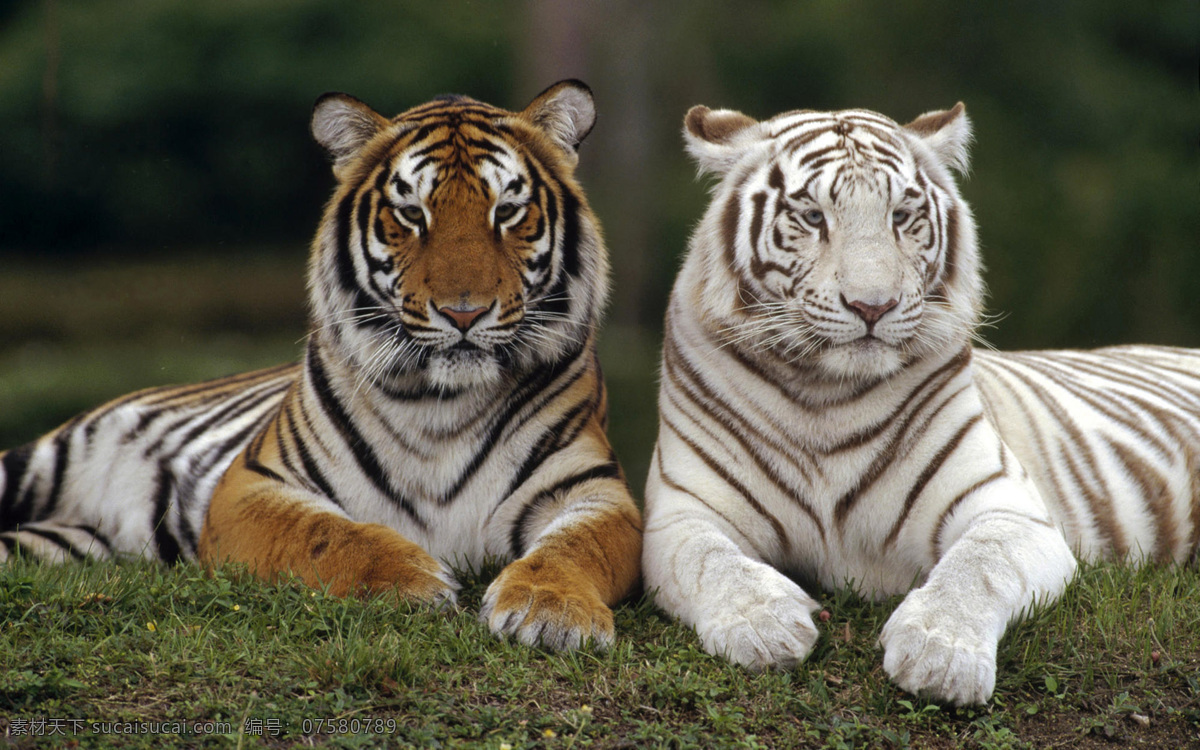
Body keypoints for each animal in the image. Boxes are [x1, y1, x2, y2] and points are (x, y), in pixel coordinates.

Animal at [648, 99, 1200, 700]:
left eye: (901, 216)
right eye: (813, 217)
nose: (872, 305)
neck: (826, 396)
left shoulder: (1009, 507)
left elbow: (979, 566)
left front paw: (941, 654)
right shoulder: (680, 513)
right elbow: (708, 560)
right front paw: (764, 626)